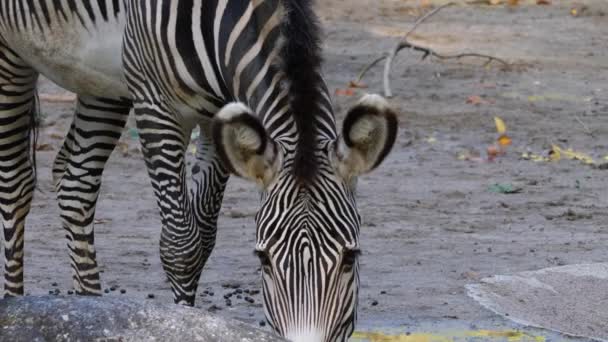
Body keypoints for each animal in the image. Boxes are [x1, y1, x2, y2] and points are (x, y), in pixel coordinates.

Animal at [0, 1, 400, 340]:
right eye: (263, 259)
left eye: (351, 258)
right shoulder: (155, 104)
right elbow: (182, 246)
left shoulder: (220, 115)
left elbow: (204, 238)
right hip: (13, 56)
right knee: (16, 184)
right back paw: (15, 310)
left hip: (102, 79)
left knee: (75, 180)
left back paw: (92, 312)